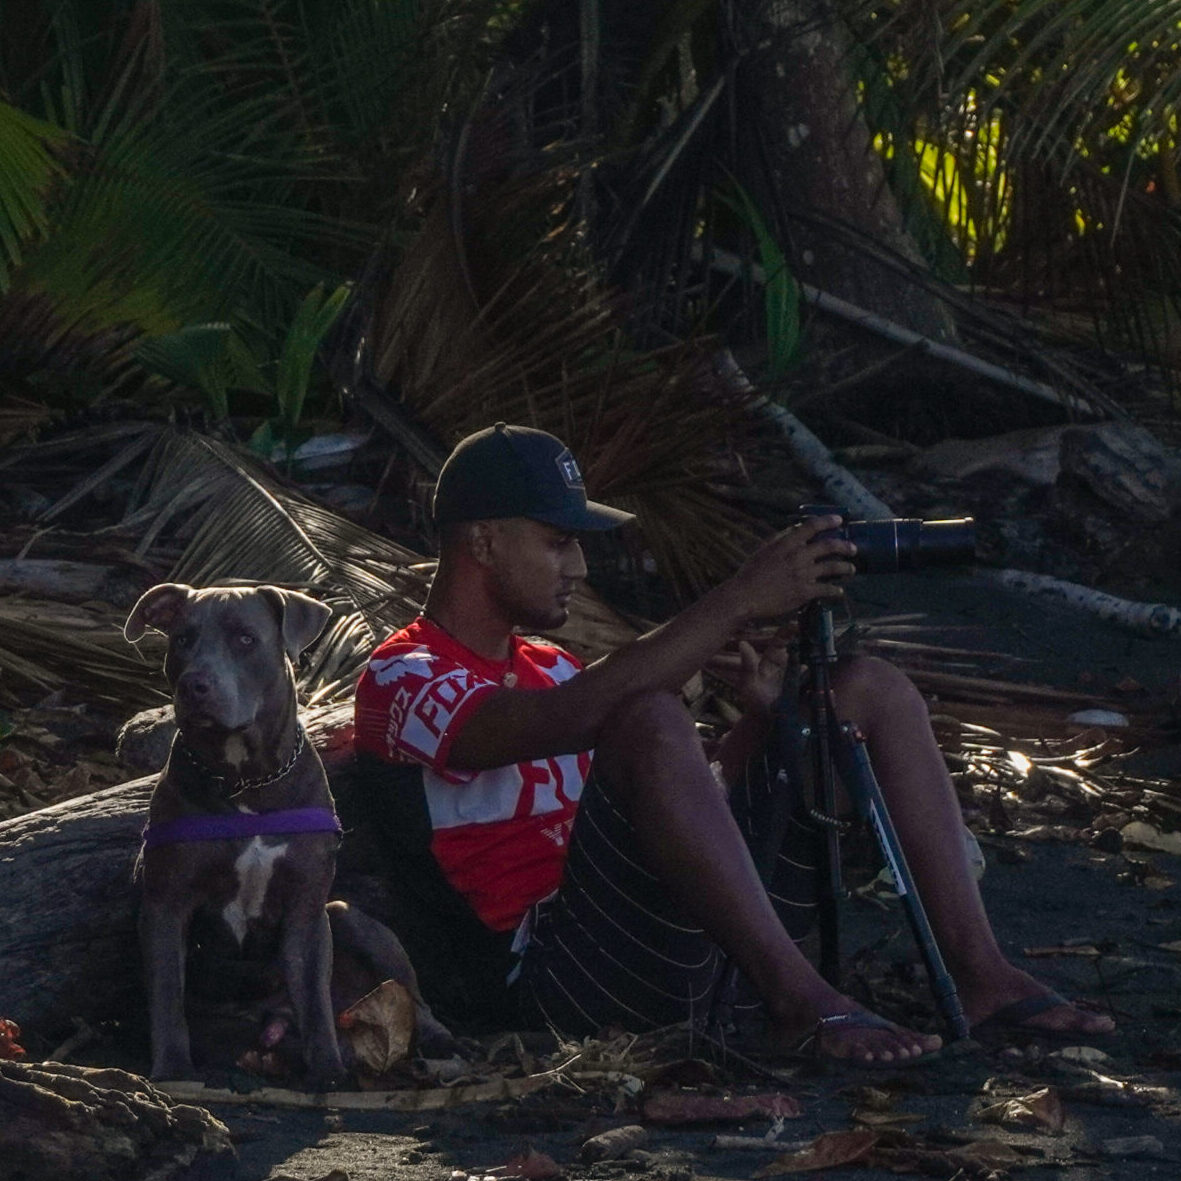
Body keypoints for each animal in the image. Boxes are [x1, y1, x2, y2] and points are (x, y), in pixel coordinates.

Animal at [124, 581, 446, 1086]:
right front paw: (173, 1069)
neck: (246, 782)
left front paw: (329, 1073)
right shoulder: (166, 903)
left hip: (350, 918)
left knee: (411, 995)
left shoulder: (306, 906)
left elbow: (313, 997)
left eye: (245, 639)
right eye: (182, 640)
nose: (194, 684)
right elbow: (167, 995)